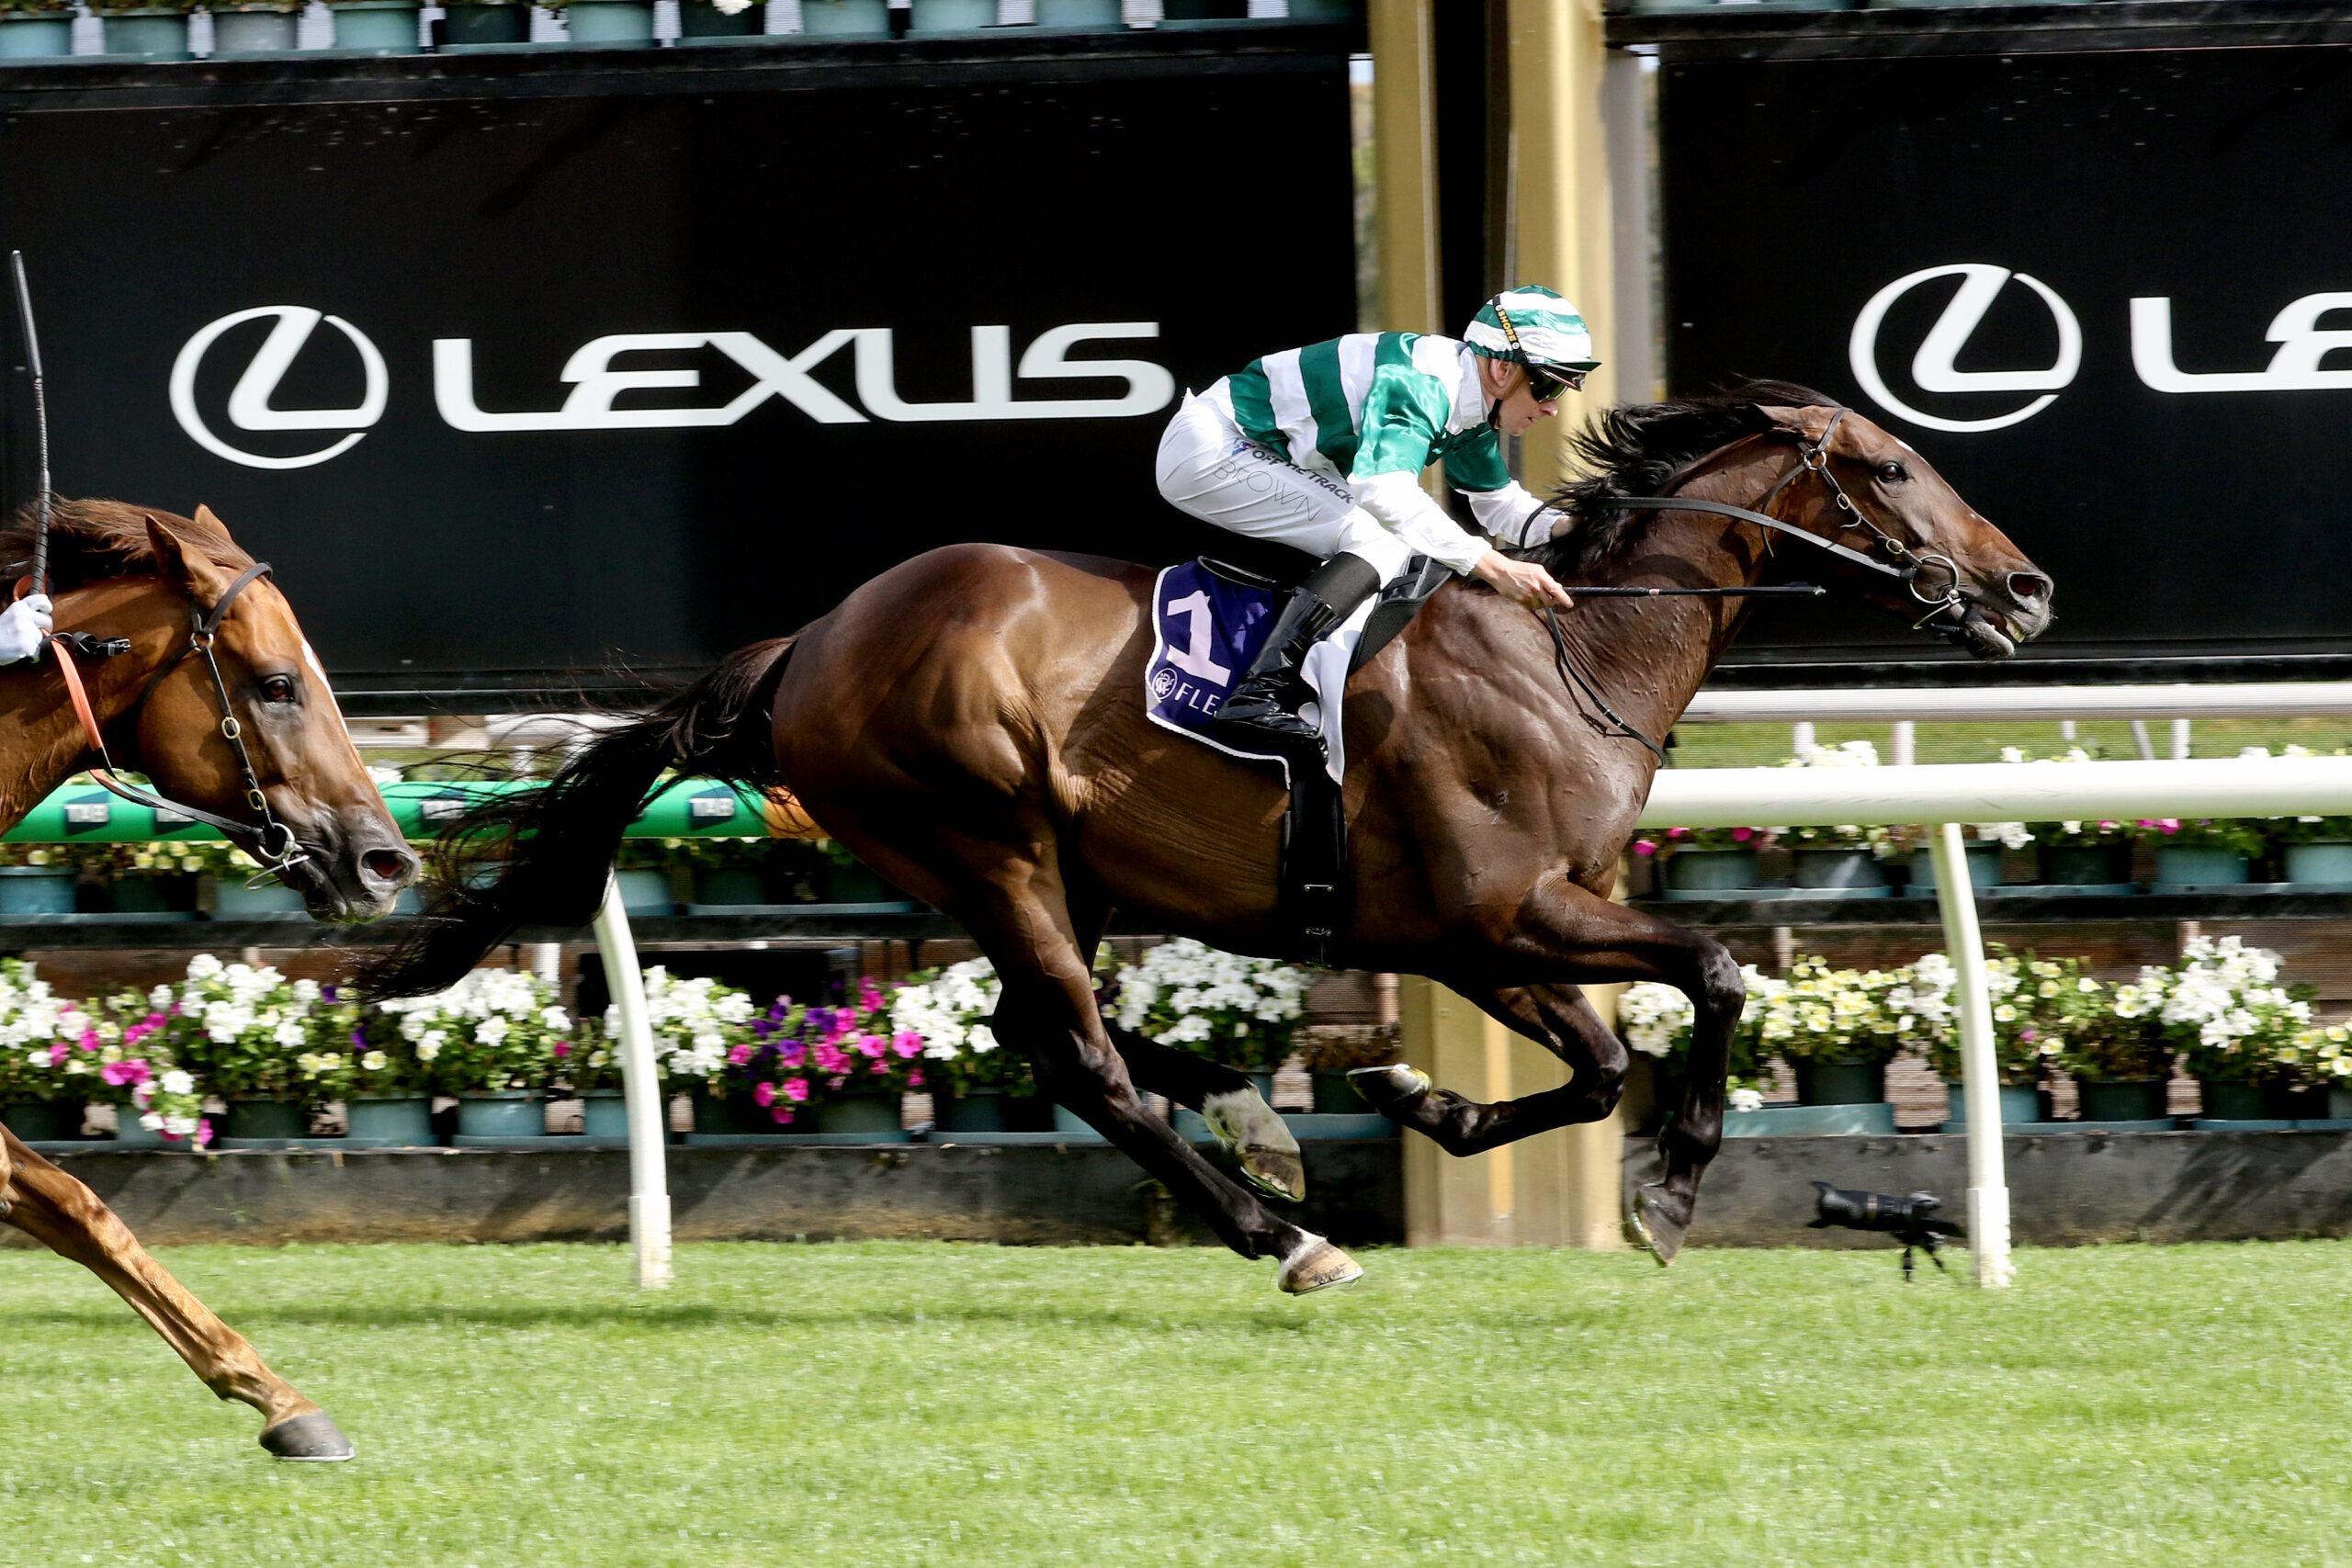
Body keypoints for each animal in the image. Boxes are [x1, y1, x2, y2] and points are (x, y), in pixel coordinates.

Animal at [366, 384, 2051, 1291]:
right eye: (1892, 467)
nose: (2025, 587)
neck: (1573, 651)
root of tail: (811, 641)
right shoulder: (1504, 909)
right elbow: (1710, 974)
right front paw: (1673, 1188)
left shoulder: (1474, 931)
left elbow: (1595, 1061)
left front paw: (1424, 1101)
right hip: (985, 837)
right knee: (1079, 1054)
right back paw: (1280, 1227)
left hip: (1056, 867)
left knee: (1048, 1039)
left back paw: (1257, 1130)